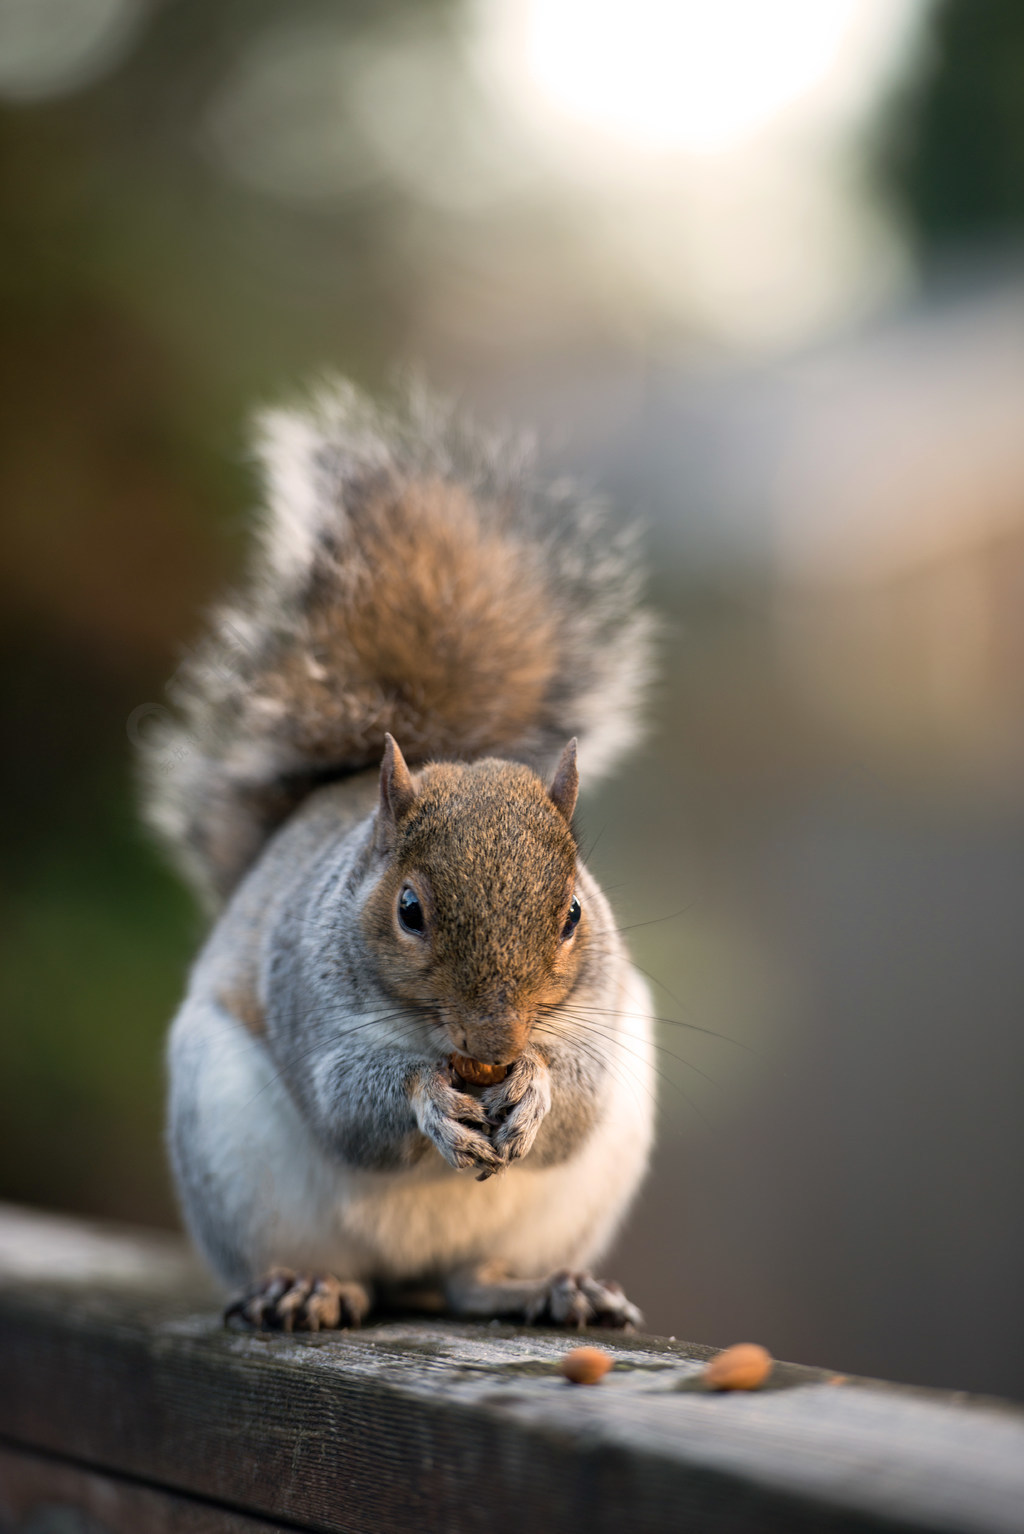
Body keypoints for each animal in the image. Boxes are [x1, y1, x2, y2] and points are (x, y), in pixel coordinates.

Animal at [144, 380, 656, 1331]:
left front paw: (535, 1084)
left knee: (472, 1281)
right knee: (335, 1267)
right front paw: (426, 1096)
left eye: (574, 913)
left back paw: (547, 1286)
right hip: (232, 1150)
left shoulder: (602, 1014)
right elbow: (348, 1104)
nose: (494, 1040)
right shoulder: (306, 995)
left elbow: (582, 1096)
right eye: (409, 911)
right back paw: (305, 1286)